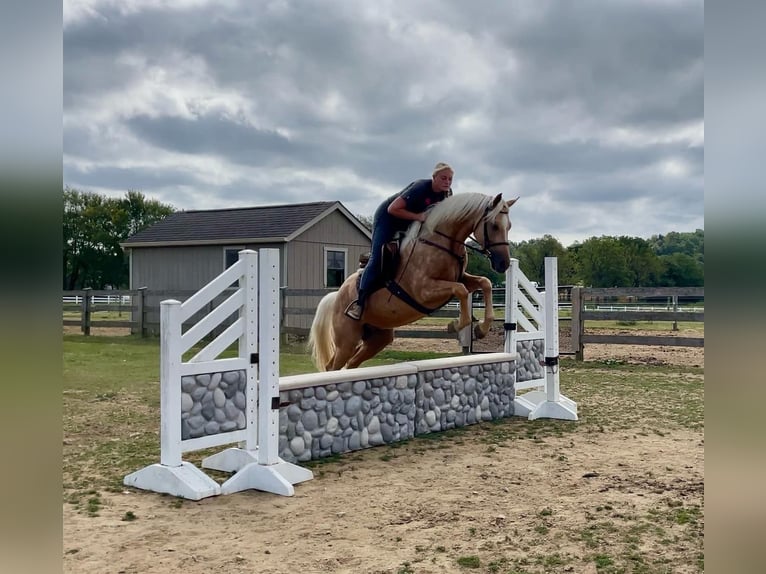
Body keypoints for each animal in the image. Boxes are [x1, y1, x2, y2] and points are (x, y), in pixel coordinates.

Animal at [308, 192, 520, 374]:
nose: (503, 263)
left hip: (377, 338)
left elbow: (485, 283)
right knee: (332, 366)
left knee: (351, 363)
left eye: (509, 226)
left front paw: (481, 329)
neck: (442, 241)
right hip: (347, 339)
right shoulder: (424, 290)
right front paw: (455, 325)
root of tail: (336, 296)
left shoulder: (462, 278)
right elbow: (460, 291)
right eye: (494, 226)